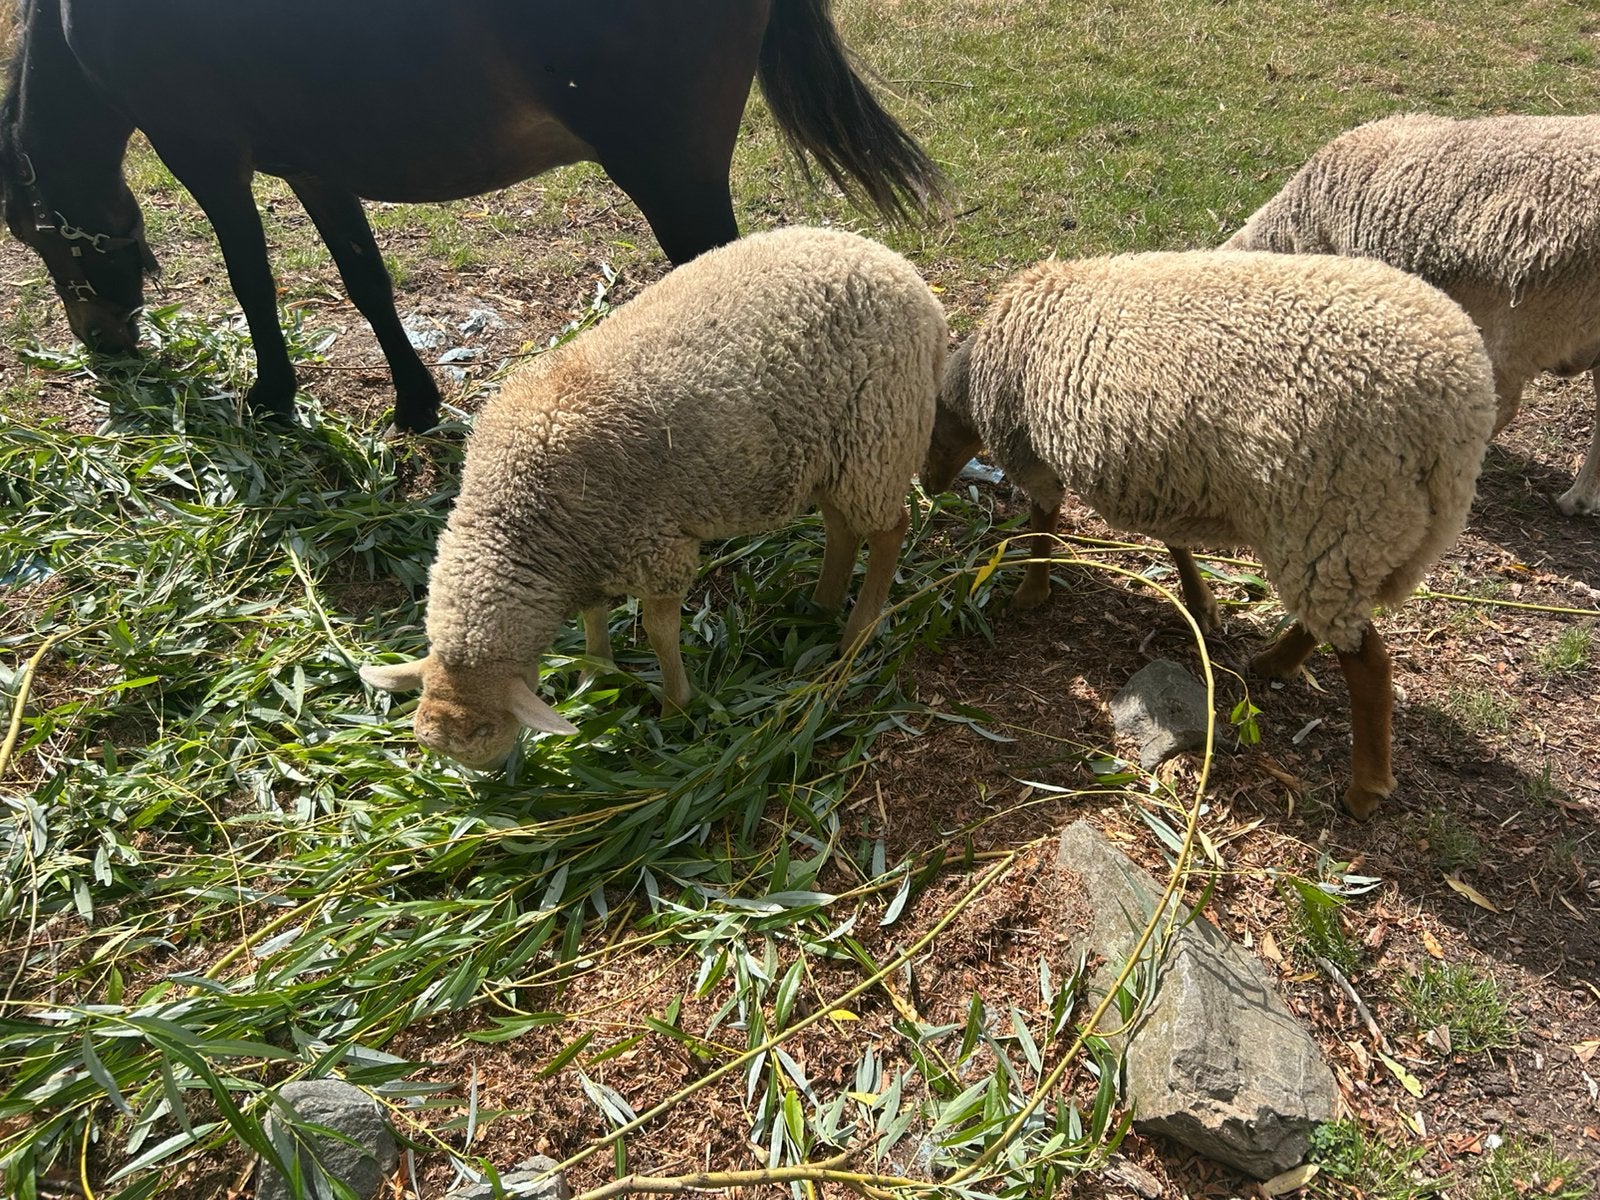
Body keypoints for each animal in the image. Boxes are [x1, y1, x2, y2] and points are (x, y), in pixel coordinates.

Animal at [359, 225, 947, 769]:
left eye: (484, 736)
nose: (487, 784)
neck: (518, 518)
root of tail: (898, 266)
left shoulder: (657, 549)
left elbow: (660, 631)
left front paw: (675, 707)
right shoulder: (587, 554)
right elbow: (594, 617)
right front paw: (595, 673)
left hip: (879, 431)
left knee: (889, 529)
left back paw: (857, 630)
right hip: (830, 452)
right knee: (841, 525)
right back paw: (820, 604)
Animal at [921, 250, 1497, 819]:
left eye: (926, 436)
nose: (927, 488)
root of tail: (1456, 422)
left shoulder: (1031, 450)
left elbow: (1044, 518)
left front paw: (1031, 589)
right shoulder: (1163, 474)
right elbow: (1174, 542)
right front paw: (1201, 604)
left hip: (1334, 520)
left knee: (1369, 664)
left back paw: (1365, 787)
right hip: (1366, 540)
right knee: (1334, 623)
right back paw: (1276, 661)